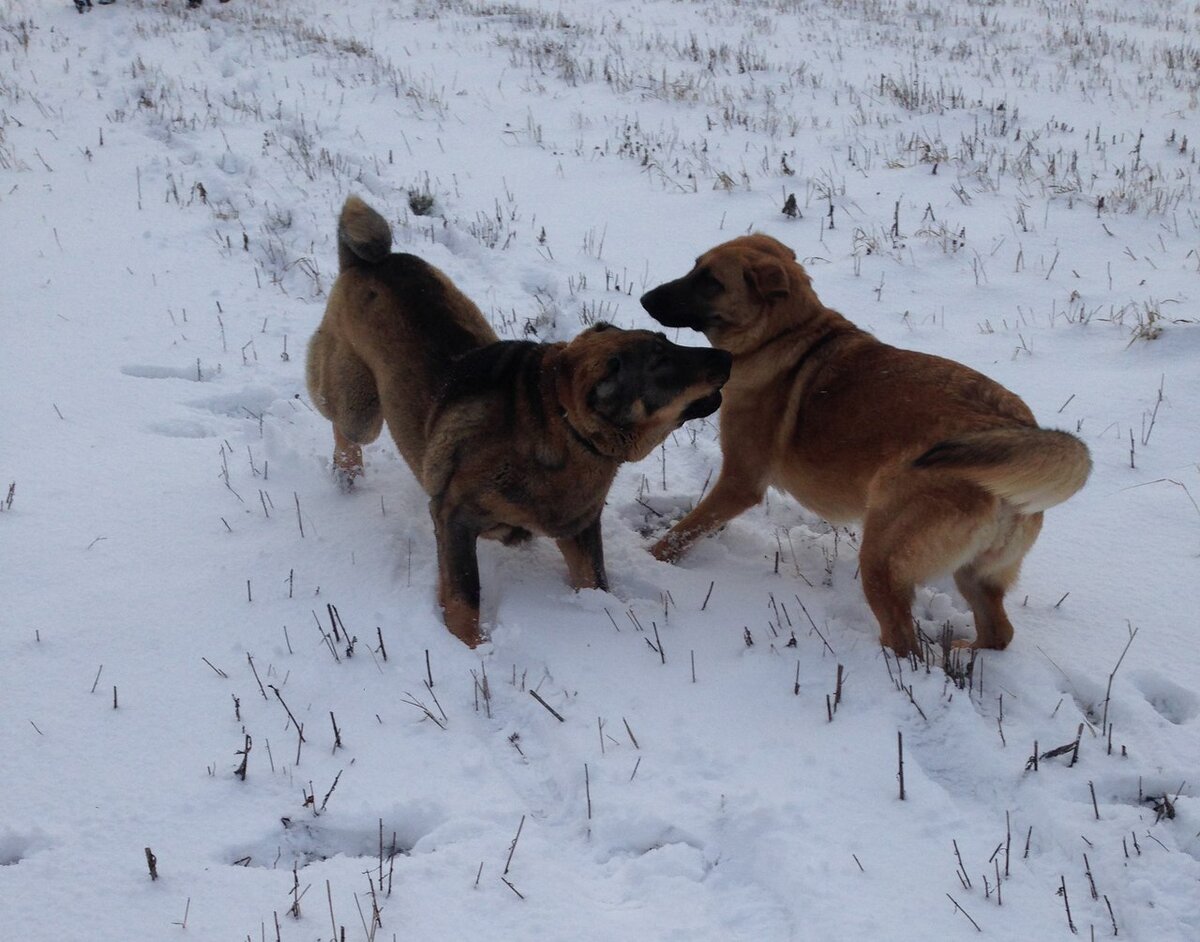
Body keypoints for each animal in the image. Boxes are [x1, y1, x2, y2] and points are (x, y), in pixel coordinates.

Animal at [304, 194, 724, 643]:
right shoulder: (454, 517)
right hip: (359, 407)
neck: (561, 427)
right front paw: (468, 646)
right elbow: (464, 595)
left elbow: (594, 580)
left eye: (667, 342)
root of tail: (368, 260)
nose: (726, 357)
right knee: (343, 427)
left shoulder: (578, 526)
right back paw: (346, 473)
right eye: (662, 362)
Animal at [643, 234, 1094, 657]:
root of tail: (1013, 426)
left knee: (905, 643)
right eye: (695, 268)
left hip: (882, 558)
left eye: (711, 282)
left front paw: (650, 558)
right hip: (975, 574)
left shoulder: (740, 482)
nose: (645, 298)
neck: (786, 335)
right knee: (998, 633)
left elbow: (684, 532)